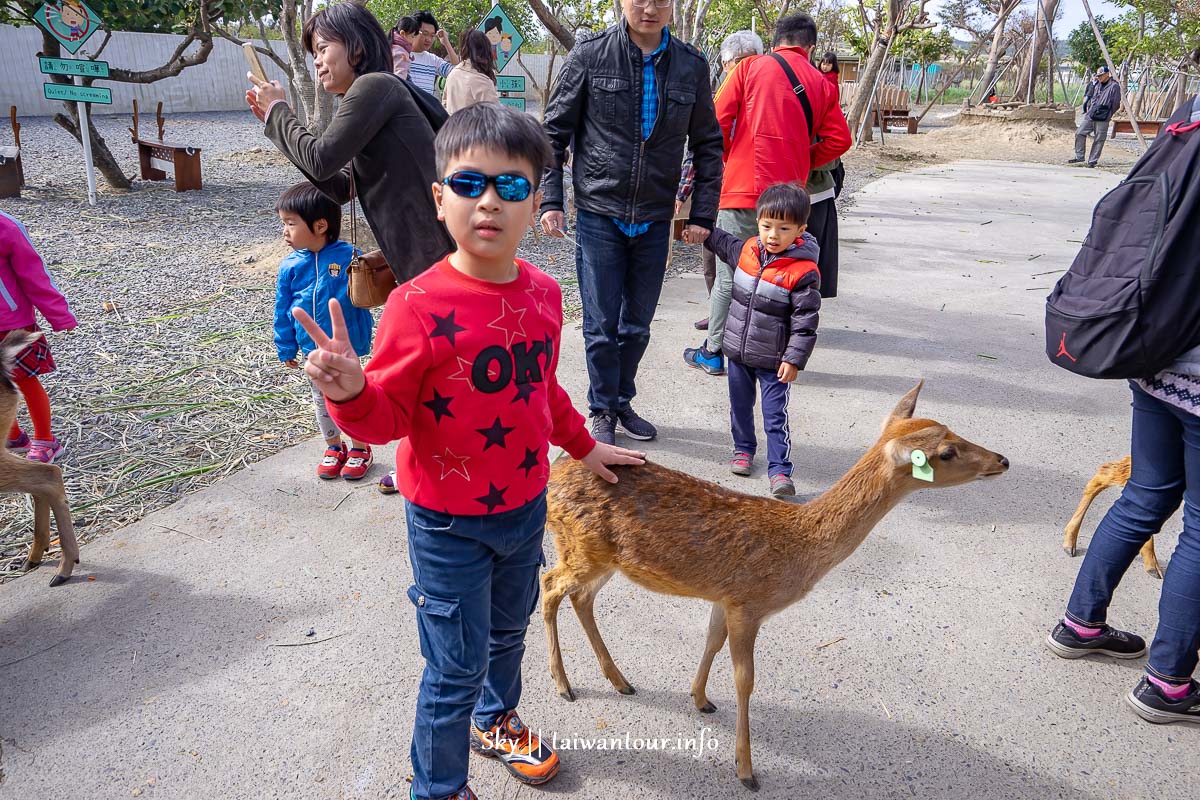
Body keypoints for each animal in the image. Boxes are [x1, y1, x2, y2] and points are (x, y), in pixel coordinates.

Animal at [547, 383, 1012, 791]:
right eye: (946, 452)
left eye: (954, 432)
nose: (1003, 460)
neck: (799, 547)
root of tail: (553, 475)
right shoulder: (750, 603)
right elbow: (745, 680)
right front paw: (746, 771)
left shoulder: (726, 596)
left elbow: (711, 641)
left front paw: (700, 699)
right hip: (582, 550)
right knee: (549, 586)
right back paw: (565, 686)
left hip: (601, 559)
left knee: (579, 597)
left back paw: (620, 680)